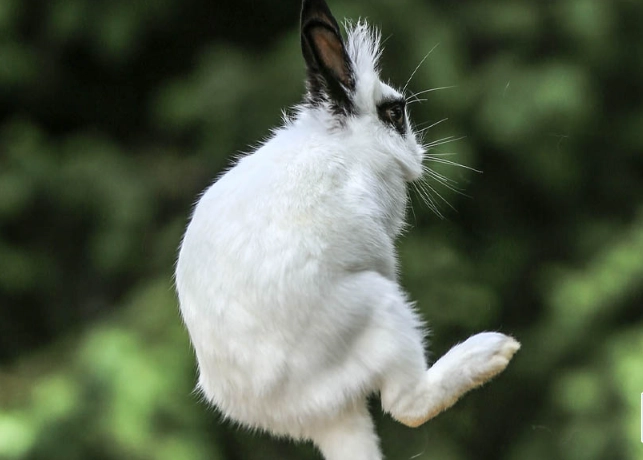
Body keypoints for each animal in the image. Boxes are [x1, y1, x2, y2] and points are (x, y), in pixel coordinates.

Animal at [175, 0, 520, 459]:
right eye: (395, 113)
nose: (418, 154)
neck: (349, 144)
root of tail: (318, 416)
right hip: (381, 310)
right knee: (407, 404)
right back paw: (492, 350)